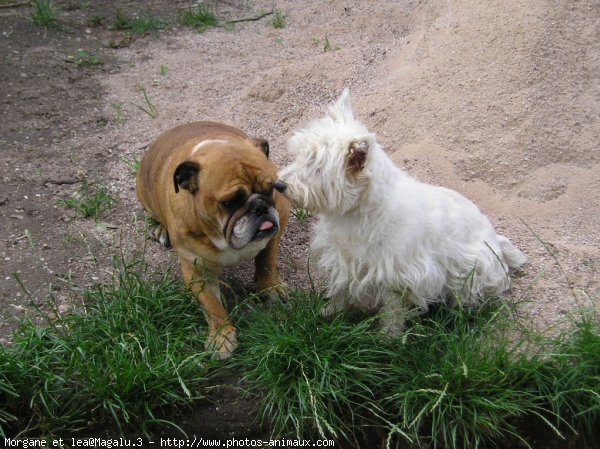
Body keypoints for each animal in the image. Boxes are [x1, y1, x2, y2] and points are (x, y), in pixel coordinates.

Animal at [135, 121, 288, 358]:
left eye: (272, 188)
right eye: (230, 202)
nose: (260, 207)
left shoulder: (276, 229)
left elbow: (266, 262)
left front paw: (270, 287)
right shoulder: (197, 271)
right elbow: (212, 305)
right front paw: (221, 336)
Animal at [276, 89, 524, 332]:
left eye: (316, 168)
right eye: (299, 156)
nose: (279, 185)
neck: (357, 214)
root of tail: (495, 239)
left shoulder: (396, 275)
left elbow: (392, 311)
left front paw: (388, 337)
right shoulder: (342, 261)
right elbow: (339, 290)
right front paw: (328, 313)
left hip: (472, 271)